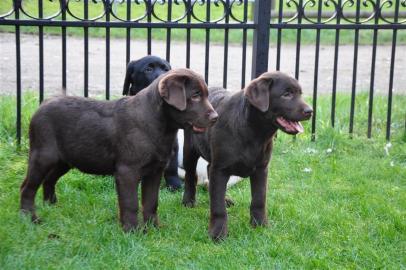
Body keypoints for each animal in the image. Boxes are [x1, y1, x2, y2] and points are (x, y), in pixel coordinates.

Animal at [20, 68, 219, 231]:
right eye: (195, 95)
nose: (216, 117)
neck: (158, 123)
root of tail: (43, 103)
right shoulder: (127, 171)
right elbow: (130, 203)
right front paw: (132, 230)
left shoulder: (155, 171)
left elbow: (151, 202)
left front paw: (153, 228)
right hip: (43, 155)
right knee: (27, 187)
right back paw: (30, 218)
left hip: (65, 159)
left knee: (49, 179)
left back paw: (51, 205)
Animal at [182, 71, 312, 240]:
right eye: (286, 94)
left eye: (300, 93)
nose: (310, 111)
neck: (255, 132)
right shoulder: (220, 169)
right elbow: (217, 207)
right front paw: (218, 233)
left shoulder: (261, 169)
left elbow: (259, 200)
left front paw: (260, 225)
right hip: (190, 150)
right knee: (191, 176)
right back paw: (188, 201)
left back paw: (226, 199)